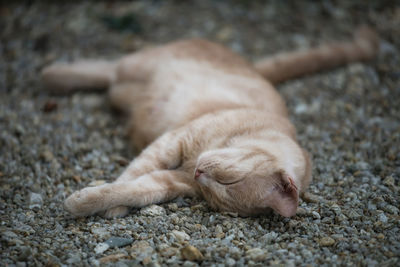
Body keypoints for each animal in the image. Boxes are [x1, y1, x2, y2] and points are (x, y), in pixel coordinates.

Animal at [40, 26, 378, 219]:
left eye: (219, 192)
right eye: (230, 180)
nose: (200, 172)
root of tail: (251, 66)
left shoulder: (170, 181)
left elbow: (135, 188)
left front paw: (104, 204)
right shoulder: (171, 143)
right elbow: (129, 174)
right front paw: (91, 201)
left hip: (126, 87)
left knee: (107, 77)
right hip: (137, 65)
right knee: (104, 68)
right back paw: (54, 74)